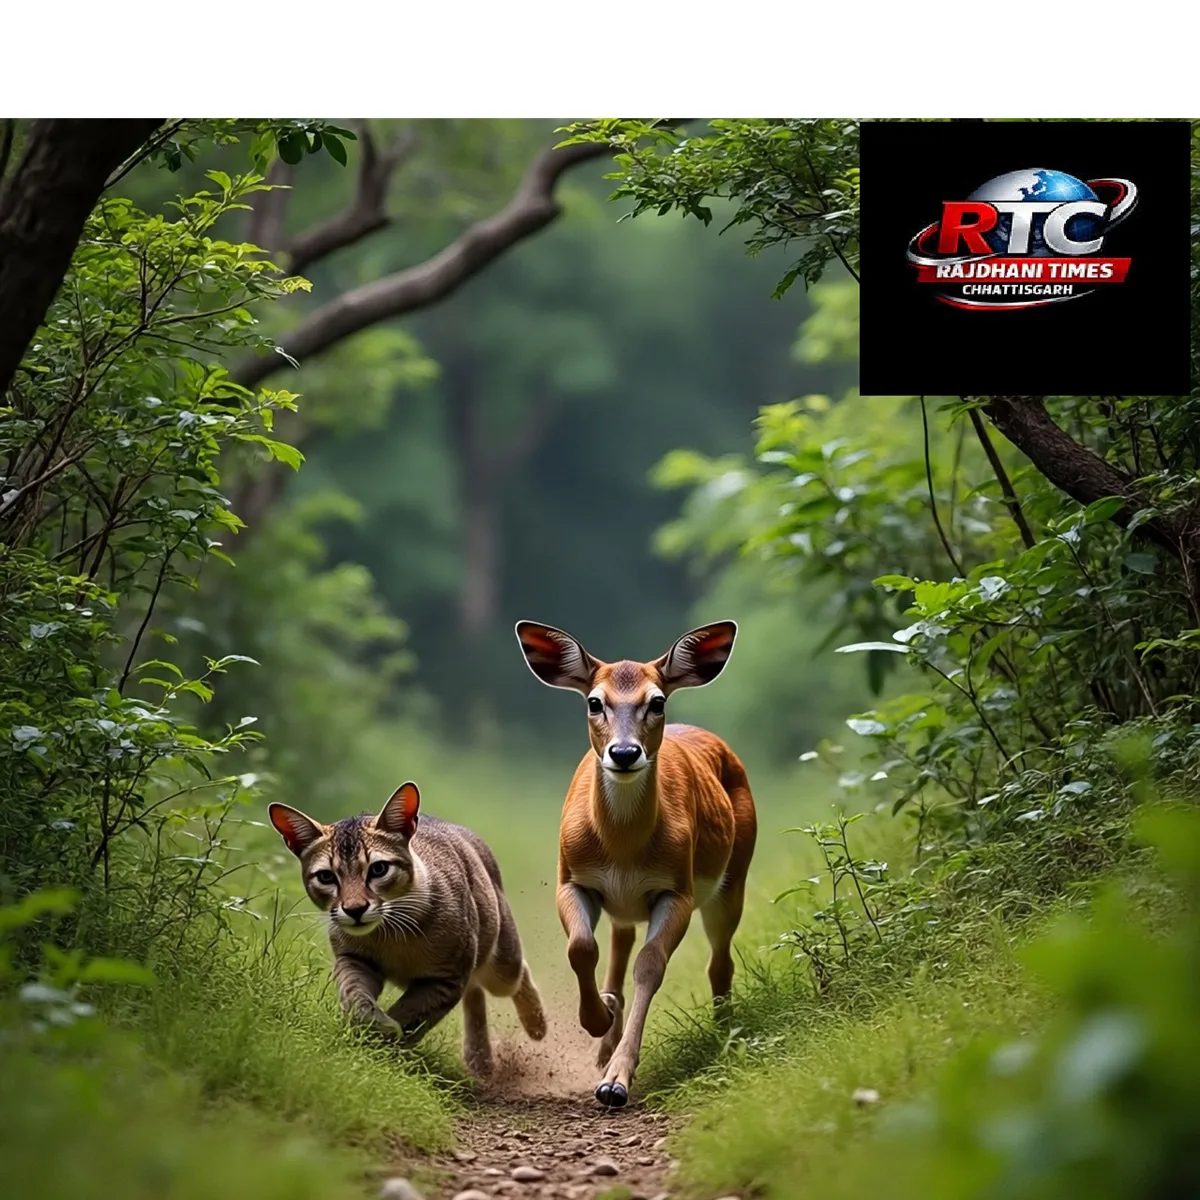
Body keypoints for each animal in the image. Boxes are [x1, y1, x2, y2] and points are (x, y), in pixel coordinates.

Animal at [515, 619, 757, 1107]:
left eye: (657, 701)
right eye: (594, 702)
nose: (624, 753)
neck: (622, 849)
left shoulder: (677, 889)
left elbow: (650, 966)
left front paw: (617, 1080)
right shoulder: (570, 878)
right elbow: (581, 947)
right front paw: (599, 1019)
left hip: (733, 878)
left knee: (719, 961)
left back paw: (723, 1033)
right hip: (624, 904)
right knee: (617, 946)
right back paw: (606, 1025)